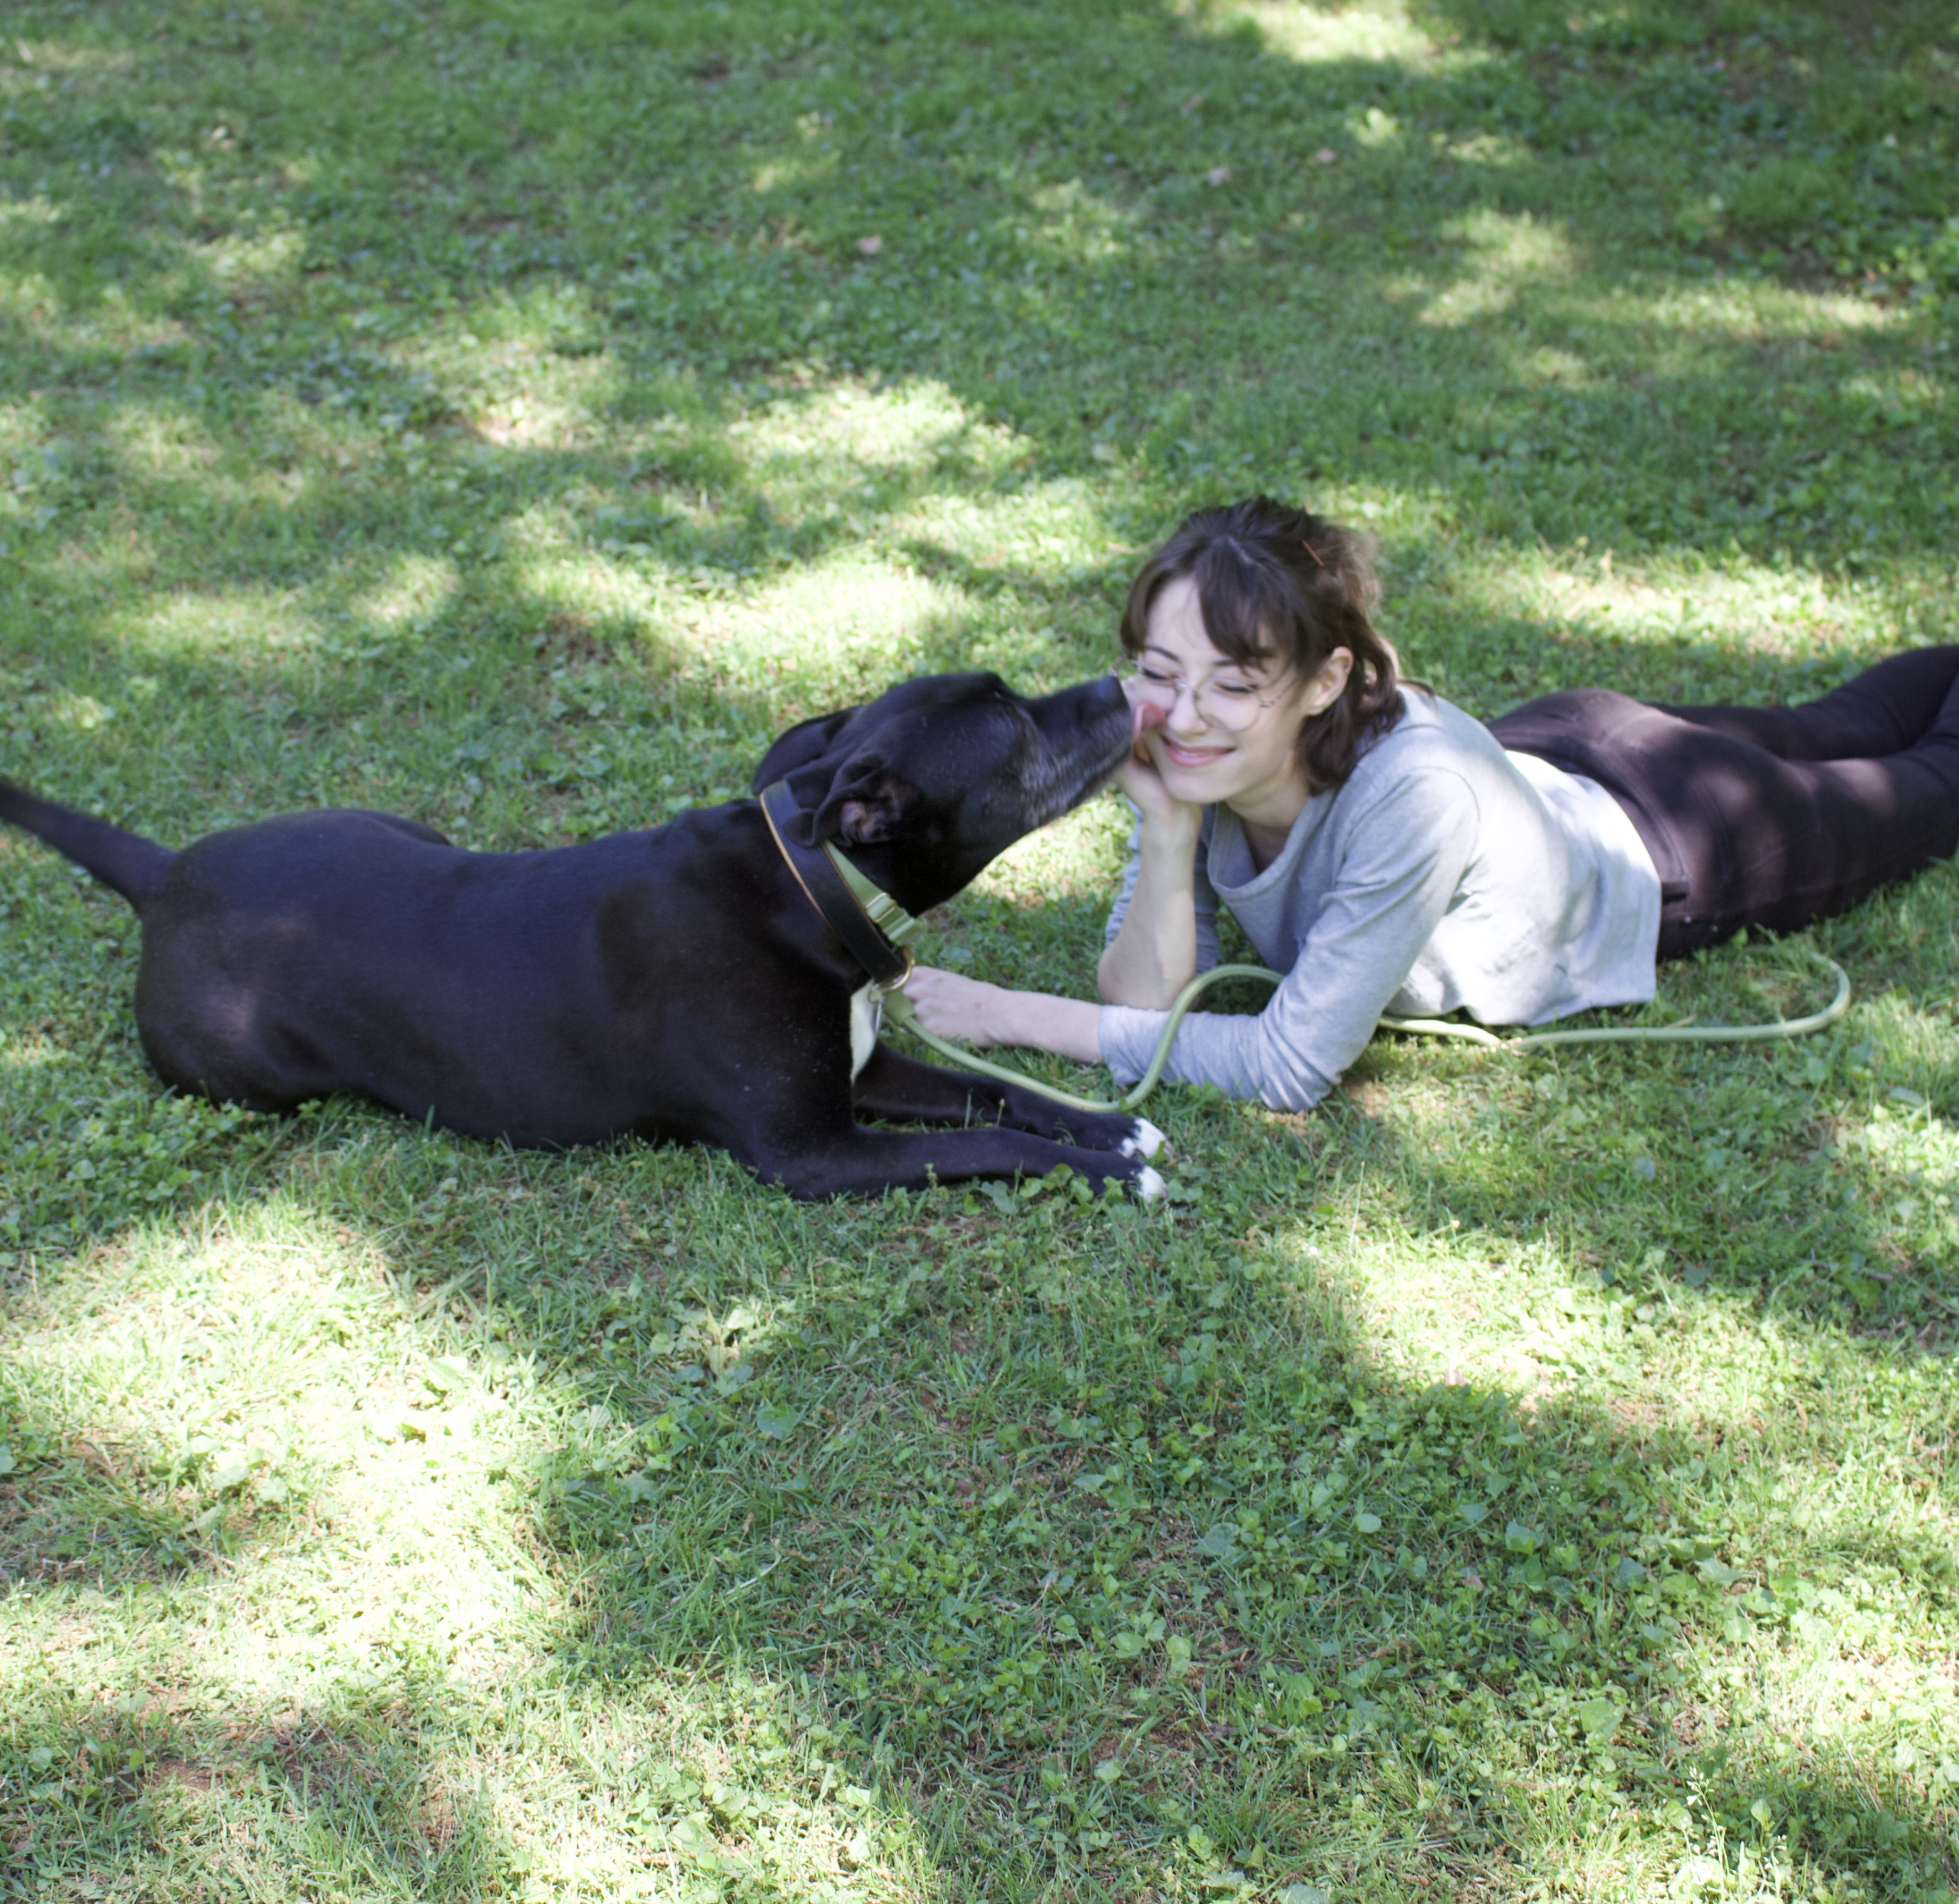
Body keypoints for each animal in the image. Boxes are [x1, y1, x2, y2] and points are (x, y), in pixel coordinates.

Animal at [3, 677, 1159, 1198]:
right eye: (1011, 724)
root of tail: (167, 875)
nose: (1121, 683)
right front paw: (1109, 1167)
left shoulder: (860, 1074)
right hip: (255, 1080)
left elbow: (996, 1093)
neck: (813, 885)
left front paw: (1110, 1129)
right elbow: (984, 1139)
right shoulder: (812, 1151)